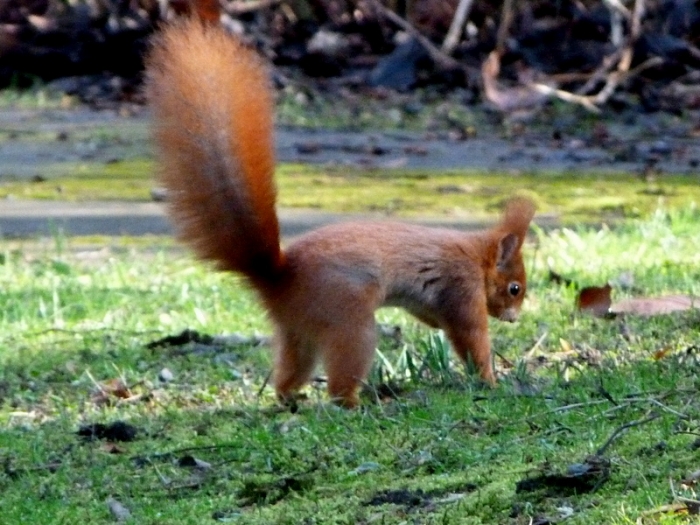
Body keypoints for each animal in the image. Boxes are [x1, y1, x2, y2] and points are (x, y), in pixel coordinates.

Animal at [145, 16, 536, 408]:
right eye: (514, 288)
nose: (515, 319)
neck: (478, 256)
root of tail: (279, 278)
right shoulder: (461, 285)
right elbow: (470, 335)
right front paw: (490, 380)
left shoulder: (434, 300)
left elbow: (435, 318)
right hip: (349, 321)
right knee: (342, 374)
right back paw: (355, 402)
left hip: (298, 331)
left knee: (291, 368)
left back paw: (292, 399)